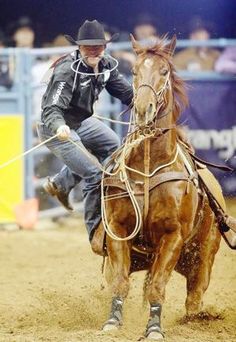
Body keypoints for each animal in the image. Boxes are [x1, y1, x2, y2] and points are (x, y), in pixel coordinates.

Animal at [100, 34, 221, 340]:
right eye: (133, 71)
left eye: (164, 71)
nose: (144, 109)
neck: (147, 167)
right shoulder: (118, 230)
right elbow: (120, 282)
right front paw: (112, 322)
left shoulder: (172, 236)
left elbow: (157, 287)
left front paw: (154, 328)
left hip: (203, 259)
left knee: (194, 300)